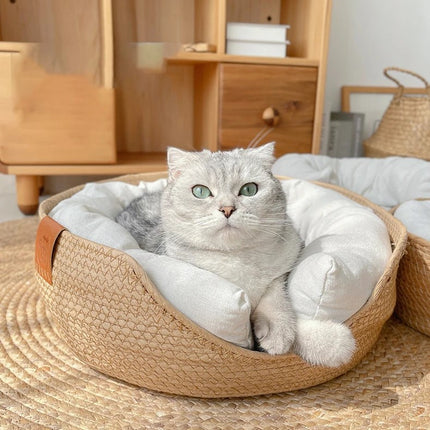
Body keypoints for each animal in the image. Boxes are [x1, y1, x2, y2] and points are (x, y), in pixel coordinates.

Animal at [116, 143, 300, 354]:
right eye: (200, 192)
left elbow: (275, 295)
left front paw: (278, 330)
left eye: (249, 189)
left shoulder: (282, 269)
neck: (235, 258)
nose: (227, 209)